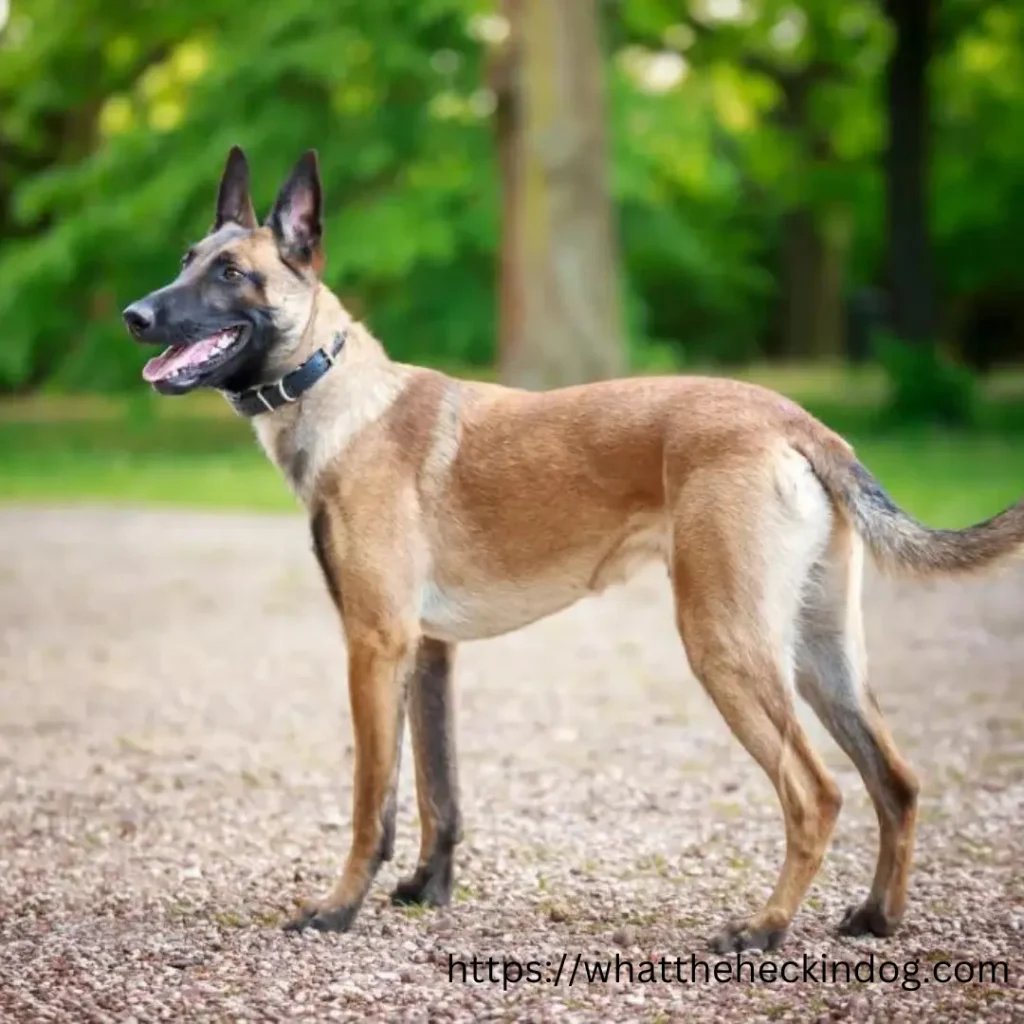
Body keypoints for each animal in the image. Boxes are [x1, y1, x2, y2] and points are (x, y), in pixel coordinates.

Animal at [121, 146, 1024, 950]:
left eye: (229, 274)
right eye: (185, 261)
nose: (135, 315)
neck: (337, 391)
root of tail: (799, 421)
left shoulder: (375, 644)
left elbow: (372, 801)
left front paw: (339, 908)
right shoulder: (429, 653)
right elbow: (439, 792)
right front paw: (426, 890)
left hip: (727, 646)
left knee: (817, 794)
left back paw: (764, 928)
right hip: (820, 655)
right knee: (896, 782)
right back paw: (876, 918)